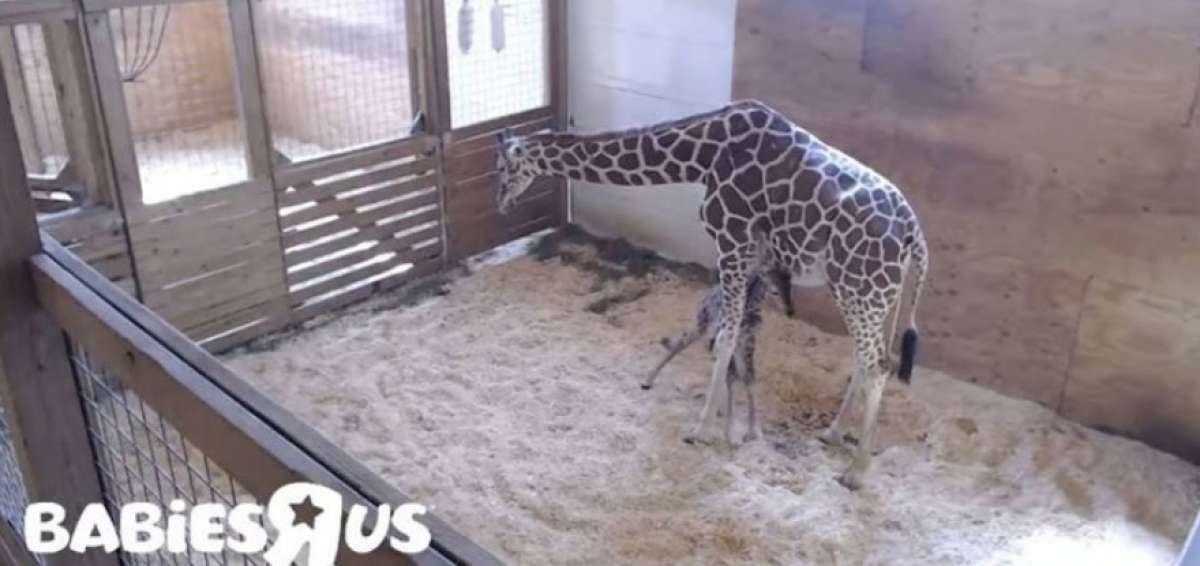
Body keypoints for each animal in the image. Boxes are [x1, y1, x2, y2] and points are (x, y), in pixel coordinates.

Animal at [495, 100, 929, 489]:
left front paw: (702, 427)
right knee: (868, 359)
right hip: (873, 297)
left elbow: (724, 337)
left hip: (859, 289)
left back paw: (855, 472)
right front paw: (733, 426)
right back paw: (833, 432)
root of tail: (914, 235)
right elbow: (735, 342)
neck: (702, 156)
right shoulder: (751, 255)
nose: (500, 203)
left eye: (502, 167)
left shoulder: (731, 240)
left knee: (878, 365)